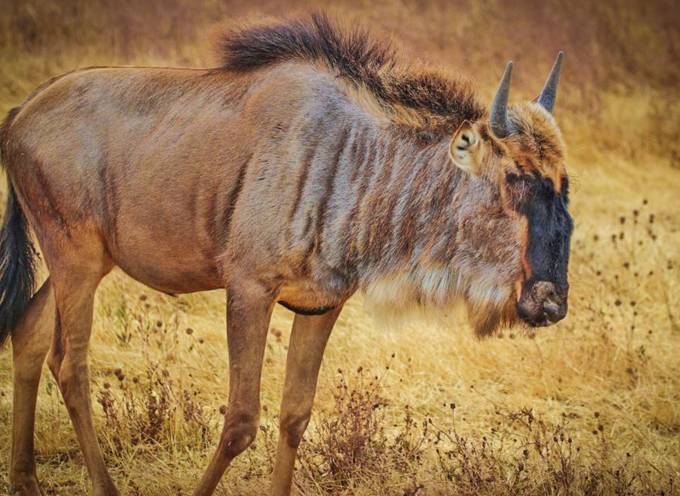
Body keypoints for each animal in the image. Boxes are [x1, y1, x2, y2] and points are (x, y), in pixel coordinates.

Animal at [0, 13, 573, 496]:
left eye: (564, 186)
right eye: (515, 177)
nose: (551, 303)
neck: (354, 161)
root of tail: (22, 111)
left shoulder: (321, 304)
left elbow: (295, 414)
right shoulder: (249, 290)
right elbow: (240, 422)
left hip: (83, 261)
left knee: (28, 332)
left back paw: (25, 480)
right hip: (74, 258)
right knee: (69, 364)